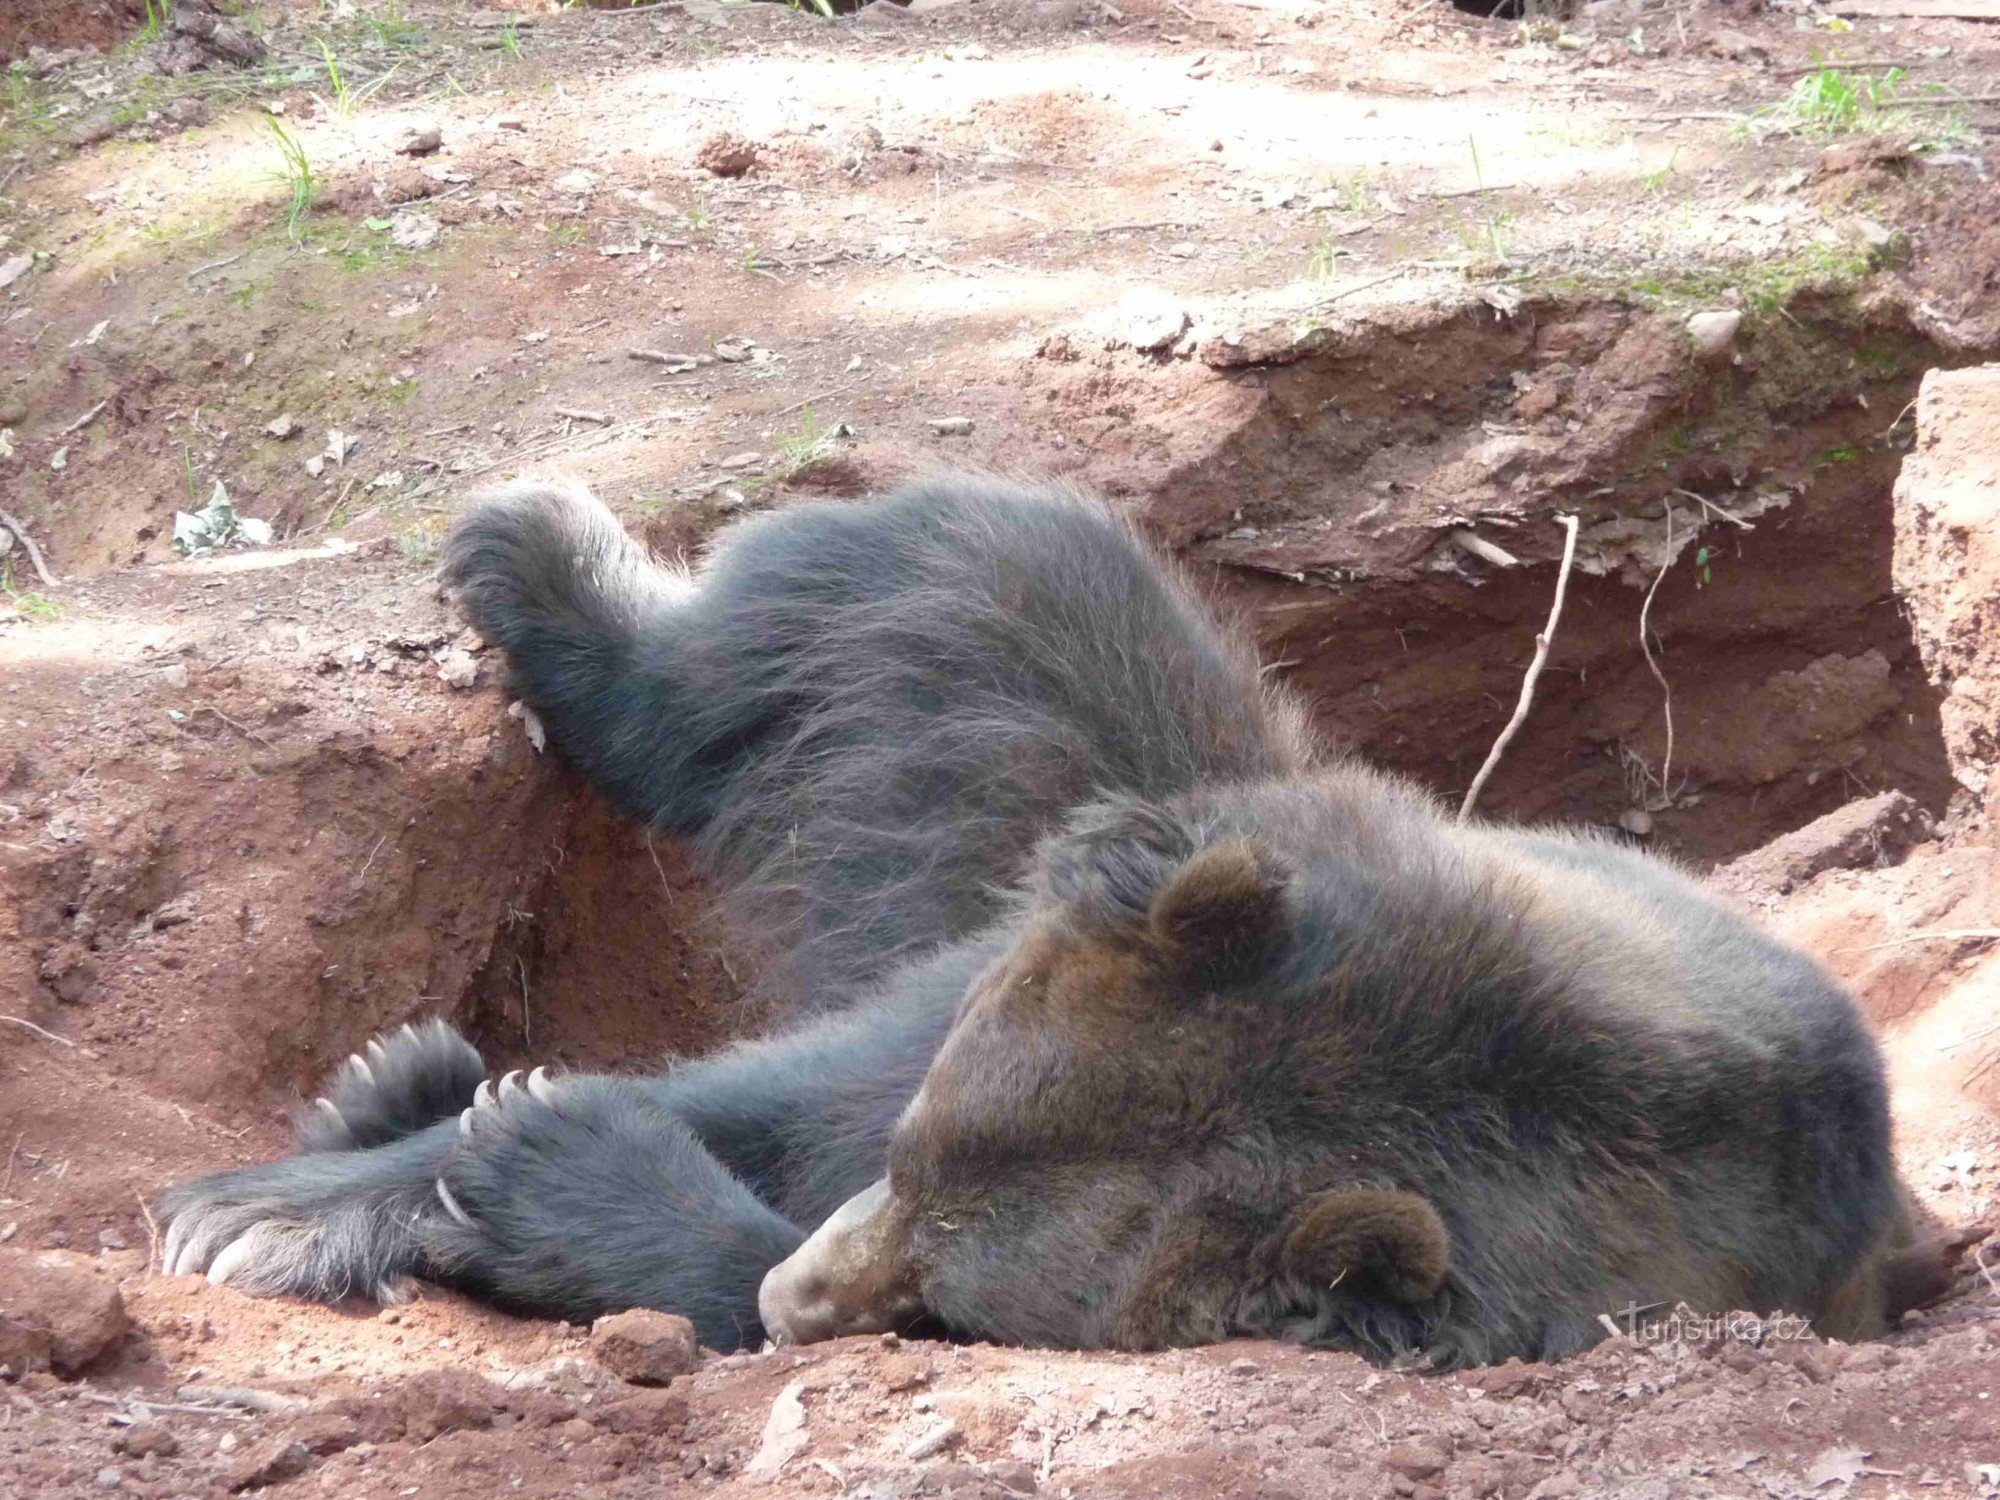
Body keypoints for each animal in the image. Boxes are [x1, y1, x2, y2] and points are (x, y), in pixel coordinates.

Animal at [156, 476, 1936, 1368]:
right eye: (920, 1150)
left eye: (957, 1293)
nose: (814, 1291)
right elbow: (783, 1077)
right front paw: (266, 1204)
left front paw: (535, 1169)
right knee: (945, 561)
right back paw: (537, 571)